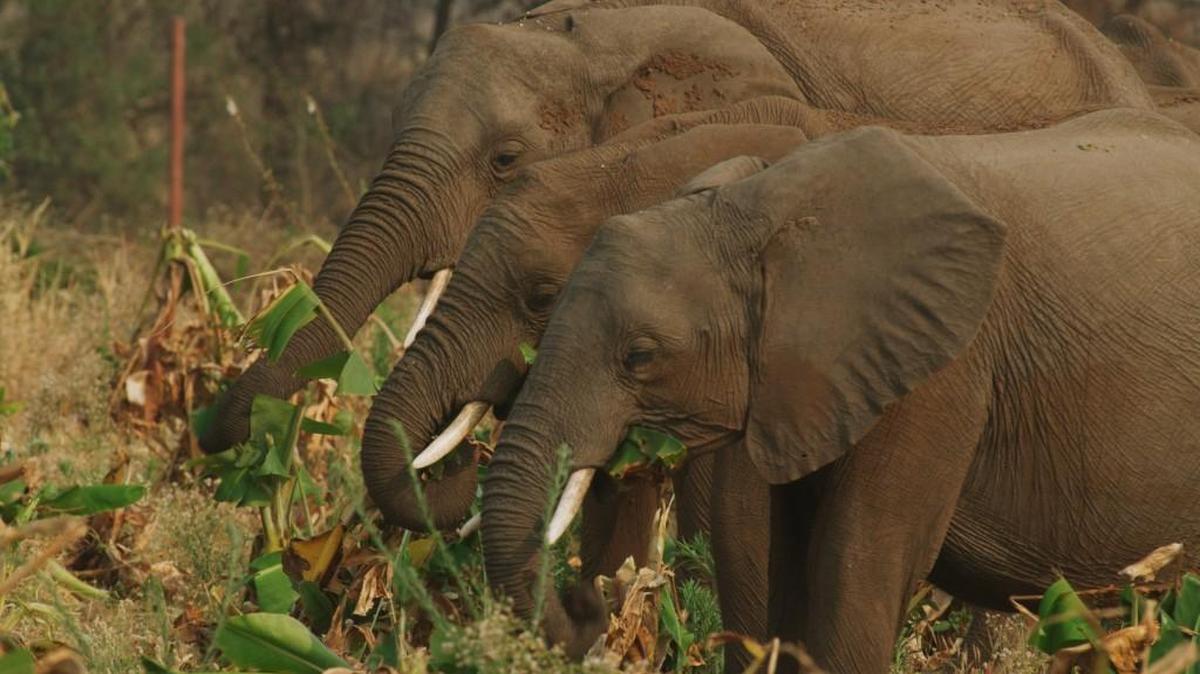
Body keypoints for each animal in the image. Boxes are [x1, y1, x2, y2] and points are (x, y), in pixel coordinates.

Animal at [484, 107, 1200, 671]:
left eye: (639, 356)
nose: (592, 599)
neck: (759, 207)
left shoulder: (942, 367)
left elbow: (857, 565)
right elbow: (772, 561)